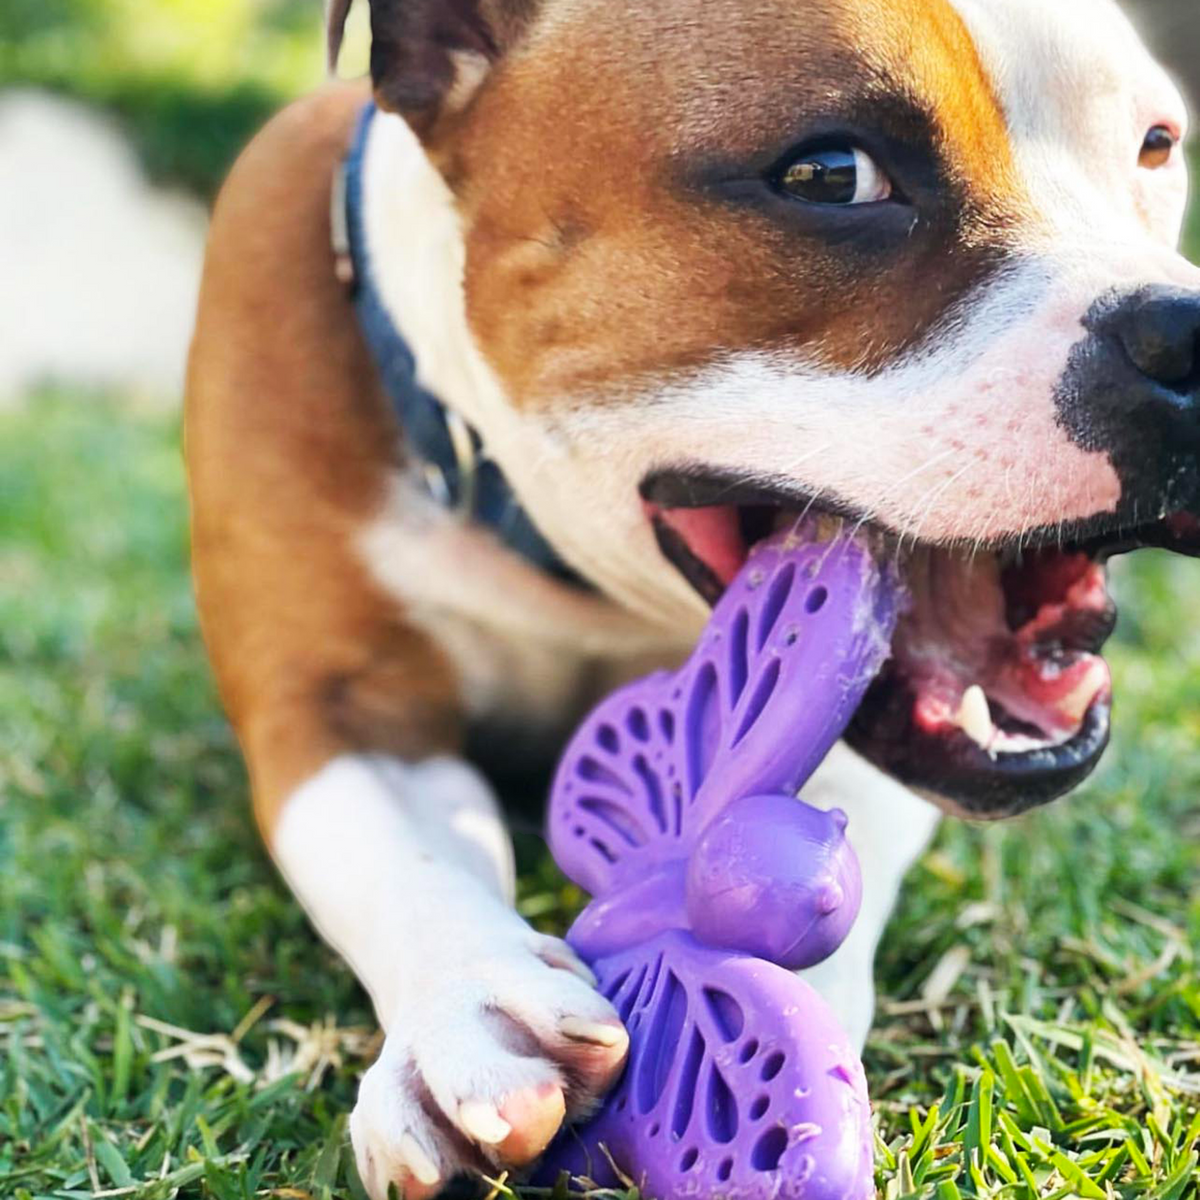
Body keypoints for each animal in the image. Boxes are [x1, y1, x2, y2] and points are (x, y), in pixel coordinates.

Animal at [182, 4, 1195, 1195]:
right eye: (831, 175)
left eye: (1155, 145)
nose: (1187, 332)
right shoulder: (330, 706)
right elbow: (394, 855)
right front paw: (469, 1017)